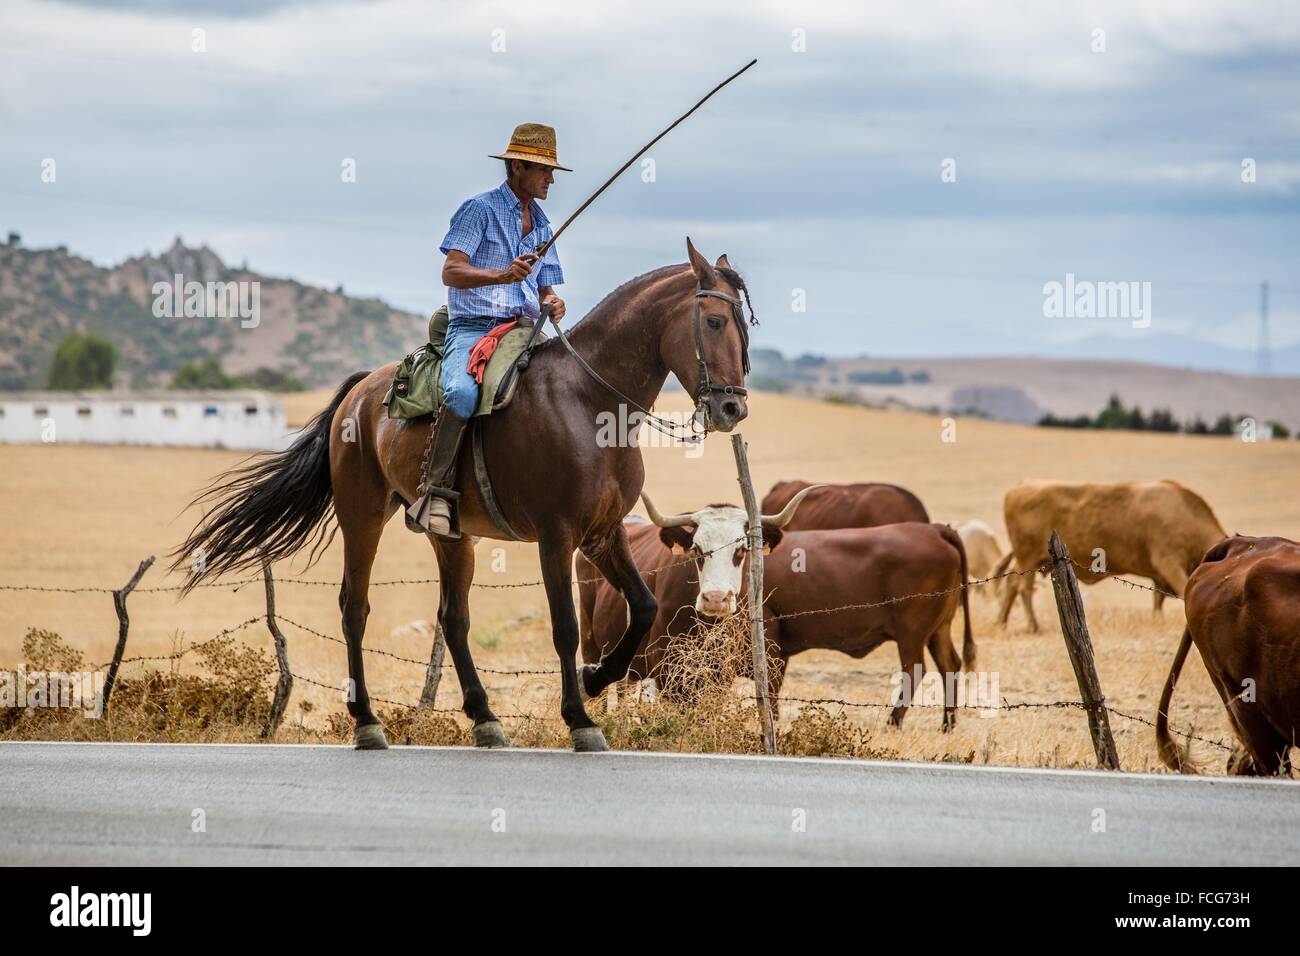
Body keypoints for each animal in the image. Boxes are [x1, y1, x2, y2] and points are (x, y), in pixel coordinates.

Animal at [178, 238, 759, 749]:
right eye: (714, 322)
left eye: (744, 328)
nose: (732, 408)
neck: (588, 401)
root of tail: (361, 392)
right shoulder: (557, 536)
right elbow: (565, 627)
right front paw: (579, 718)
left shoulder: (603, 532)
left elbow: (641, 606)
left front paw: (595, 678)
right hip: (362, 516)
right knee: (354, 607)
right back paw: (367, 721)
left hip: (451, 537)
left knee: (452, 620)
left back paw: (484, 717)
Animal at [993, 478, 1227, 634]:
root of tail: (1022, 485)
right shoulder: (1169, 564)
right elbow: (1182, 592)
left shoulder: (1160, 576)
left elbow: (1157, 601)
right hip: (1028, 557)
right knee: (1023, 589)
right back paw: (1033, 626)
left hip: (1029, 561)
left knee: (1012, 584)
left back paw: (1001, 623)